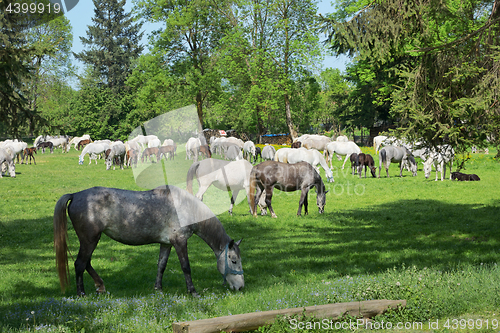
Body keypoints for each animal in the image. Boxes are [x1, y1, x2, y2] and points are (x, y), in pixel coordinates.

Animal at [53, 184, 243, 296]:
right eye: (233, 260)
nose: (241, 287)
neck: (185, 207)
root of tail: (76, 195)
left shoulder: (166, 244)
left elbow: (161, 266)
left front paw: (158, 288)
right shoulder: (180, 242)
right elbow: (186, 267)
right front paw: (192, 291)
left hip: (91, 240)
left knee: (86, 263)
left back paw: (100, 286)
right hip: (90, 240)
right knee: (80, 264)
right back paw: (82, 293)